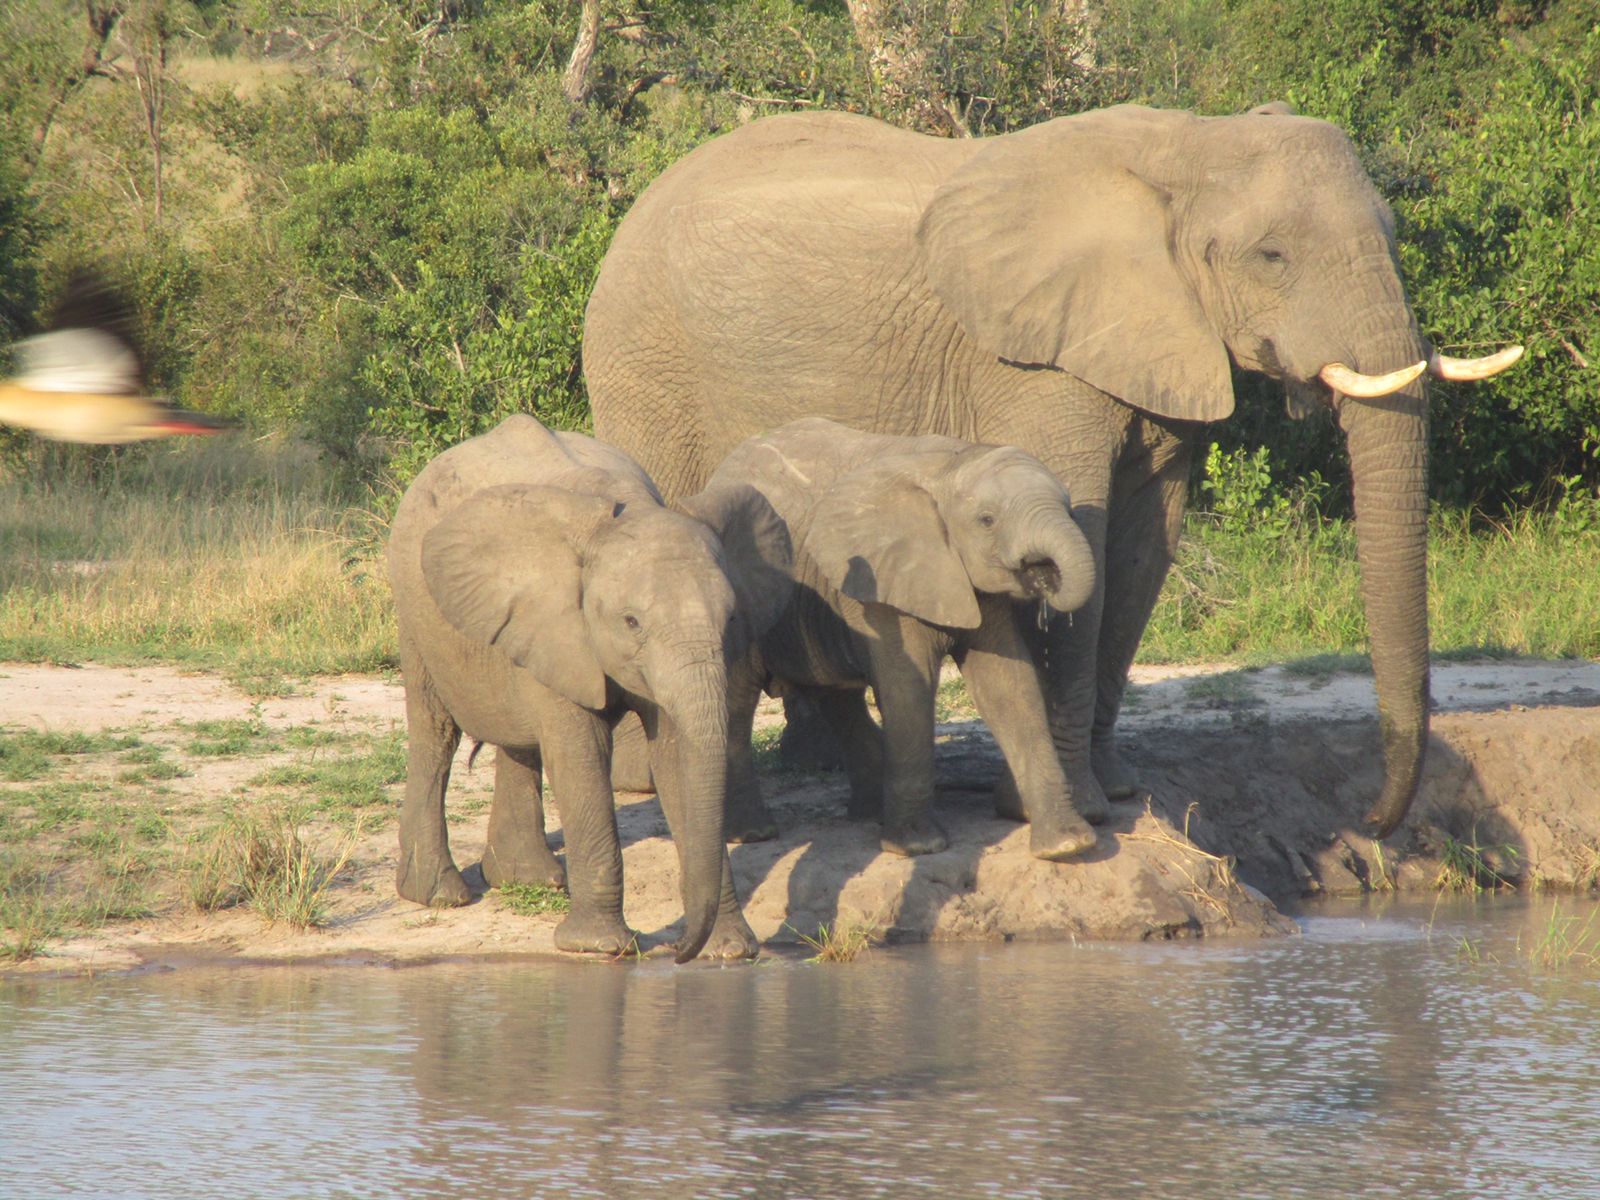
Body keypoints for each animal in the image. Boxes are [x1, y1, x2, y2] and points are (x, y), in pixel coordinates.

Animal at [384, 419, 790, 966]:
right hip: (413, 604)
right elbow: (580, 753)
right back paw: (439, 894)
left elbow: (677, 757)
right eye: (632, 622)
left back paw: (529, 878)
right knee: (436, 730)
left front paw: (728, 952)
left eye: (730, 619)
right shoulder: (558, 622)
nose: (678, 950)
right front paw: (600, 948)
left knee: (518, 740)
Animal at [713, 419, 1100, 857]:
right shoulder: (881, 580)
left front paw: (1068, 844)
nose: (1044, 575)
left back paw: (868, 815)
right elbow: (907, 689)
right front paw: (919, 847)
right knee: (739, 701)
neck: (952, 465)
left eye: (1069, 508)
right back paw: (753, 833)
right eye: (987, 520)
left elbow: (1008, 686)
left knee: (839, 697)